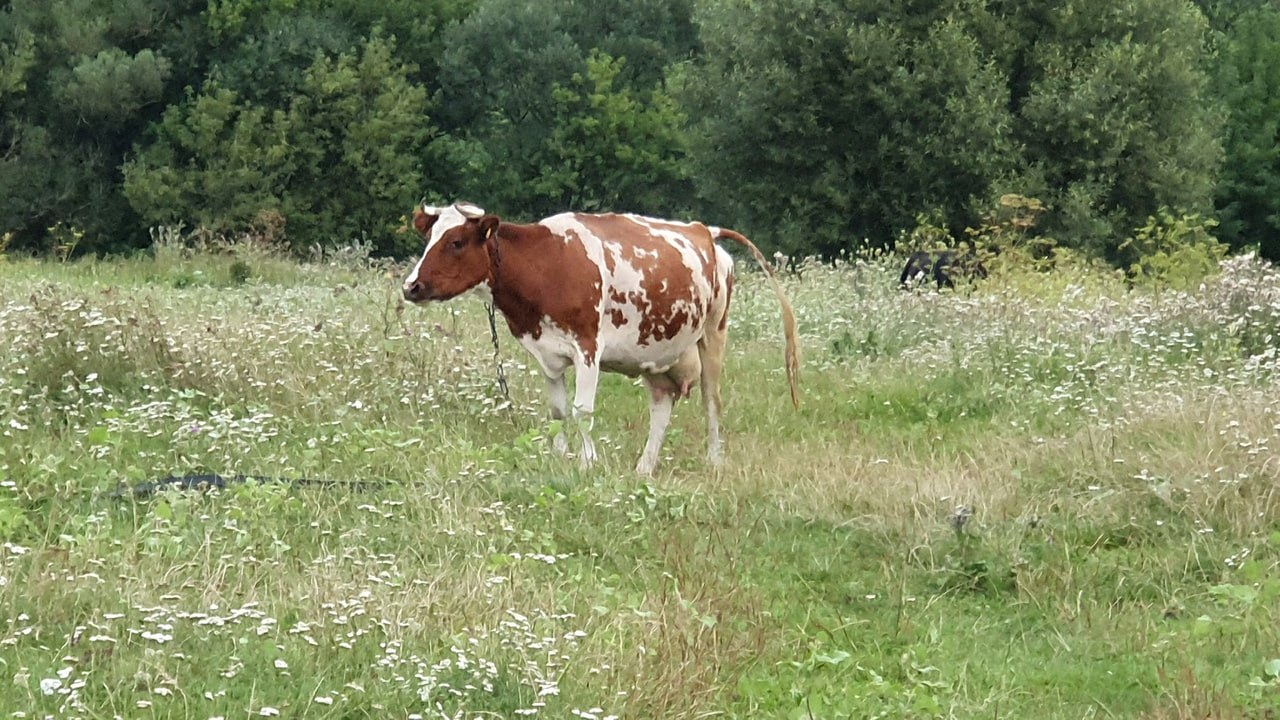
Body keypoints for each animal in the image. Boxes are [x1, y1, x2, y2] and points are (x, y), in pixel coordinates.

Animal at [402, 202, 800, 475]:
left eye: (456, 242)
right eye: (429, 238)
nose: (411, 286)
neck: (545, 262)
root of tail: (705, 231)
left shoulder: (587, 348)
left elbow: (583, 411)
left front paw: (587, 462)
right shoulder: (548, 354)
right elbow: (558, 412)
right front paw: (559, 456)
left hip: (714, 333)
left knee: (711, 400)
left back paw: (714, 460)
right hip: (657, 349)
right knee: (661, 406)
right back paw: (644, 468)